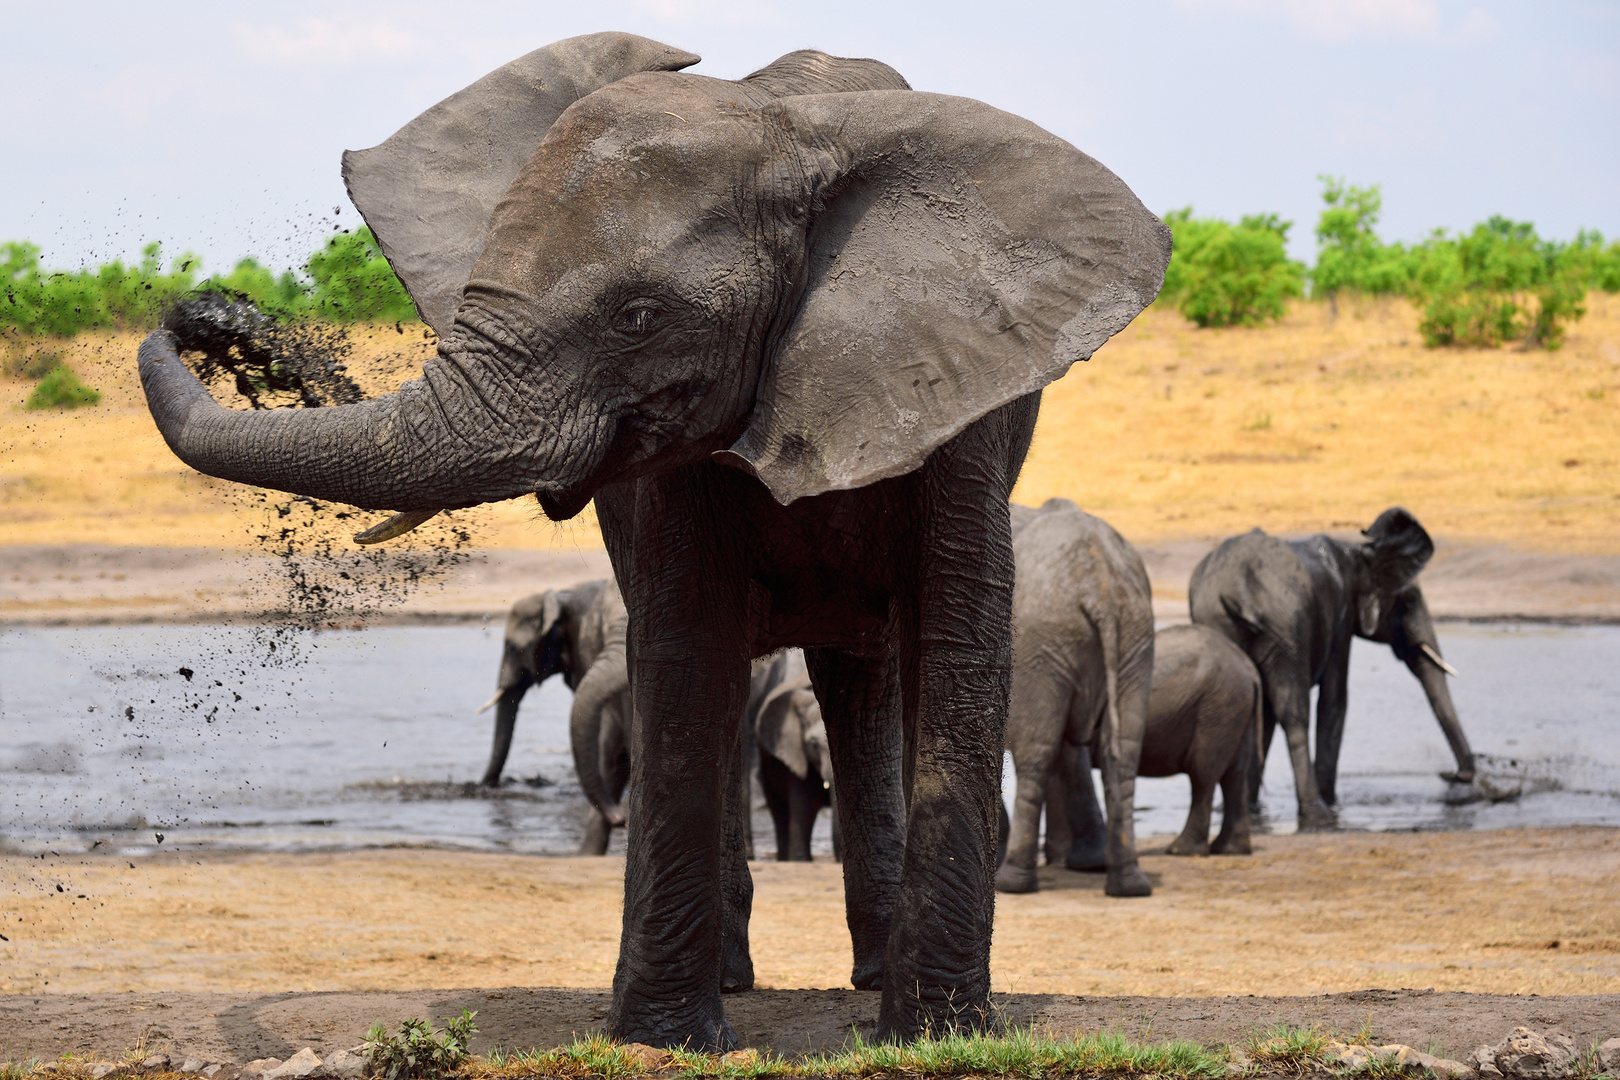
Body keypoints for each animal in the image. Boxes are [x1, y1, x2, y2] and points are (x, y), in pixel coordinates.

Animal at [991, 501, 1159, 900]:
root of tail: (1103, 586)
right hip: (1133, 637)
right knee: (1122, 750)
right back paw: (1127, 884)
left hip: (1041, 640)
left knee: (1037, 749)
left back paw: (1012, 882)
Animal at [1185, 508, 1477, 829]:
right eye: (1409, 601)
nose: (1451, 775)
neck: (1359, 553)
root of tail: (1237, 589)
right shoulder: (1341, 615)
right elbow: (1334, 700)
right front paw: (1333, 803)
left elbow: (1265, 714)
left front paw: (1252, 807)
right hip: (1286, 623)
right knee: (1294, 712)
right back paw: (1318, 814)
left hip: (1221, 623)